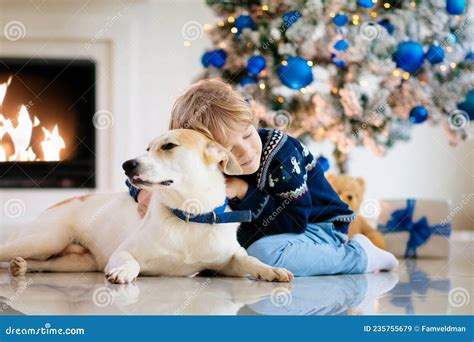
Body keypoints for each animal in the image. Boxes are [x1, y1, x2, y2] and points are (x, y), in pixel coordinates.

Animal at [0, 129, 292, 284]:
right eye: (148, 148)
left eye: (169, 146)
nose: (126, 165)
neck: (189, 216)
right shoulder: (124, 251)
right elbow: (130, 261)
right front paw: (123, 271)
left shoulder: (229, 261)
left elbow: (249, 260)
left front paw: (272, 271)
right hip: (46, 239)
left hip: (75, 262)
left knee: (45, 263)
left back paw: (21, 267)